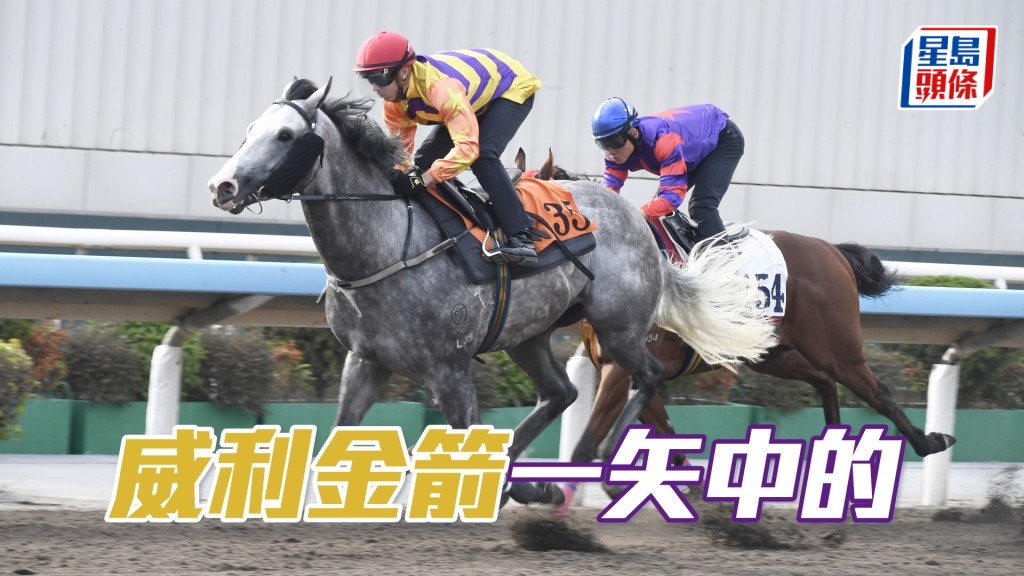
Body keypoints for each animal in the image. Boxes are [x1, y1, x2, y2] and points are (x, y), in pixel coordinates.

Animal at [208, 78, 778, 507]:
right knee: (562, 392)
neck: (387, 245)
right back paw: (536, 481)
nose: (223, 186)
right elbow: (336, 437)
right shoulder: (366, 359)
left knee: (648, 376)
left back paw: (605, 469)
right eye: (250, 130)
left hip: (618, 328)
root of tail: (639, 219)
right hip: (530, 334)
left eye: (285, 135)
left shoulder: (449, 371)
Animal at [515, 150, 957, 512]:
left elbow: (590, 442)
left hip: (837, 347)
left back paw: (930, 441)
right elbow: (666, 432)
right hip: (771, 353)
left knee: (878, 393)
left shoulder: (622, 368)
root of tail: (831, 251)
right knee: (825, 382)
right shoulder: (635, 371)